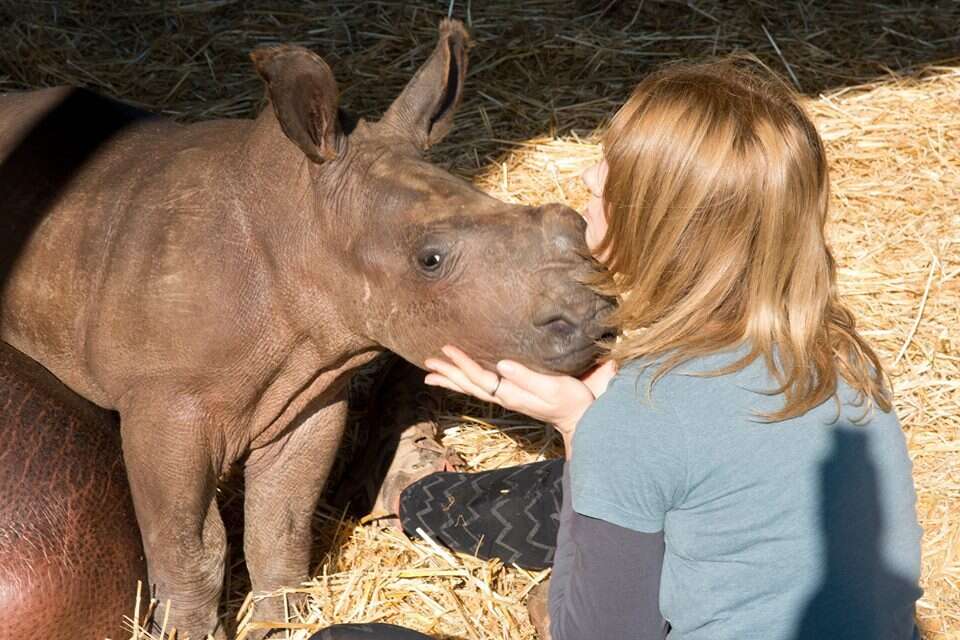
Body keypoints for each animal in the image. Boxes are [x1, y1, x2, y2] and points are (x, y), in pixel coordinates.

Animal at [0, 18, 608, 636]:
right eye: (430, 260)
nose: (591, 315)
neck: (297, 222)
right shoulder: (165, 402)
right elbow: (189, 544)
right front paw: (196, 630)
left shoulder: (307, 391)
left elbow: (282, 519)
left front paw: (281, 620)